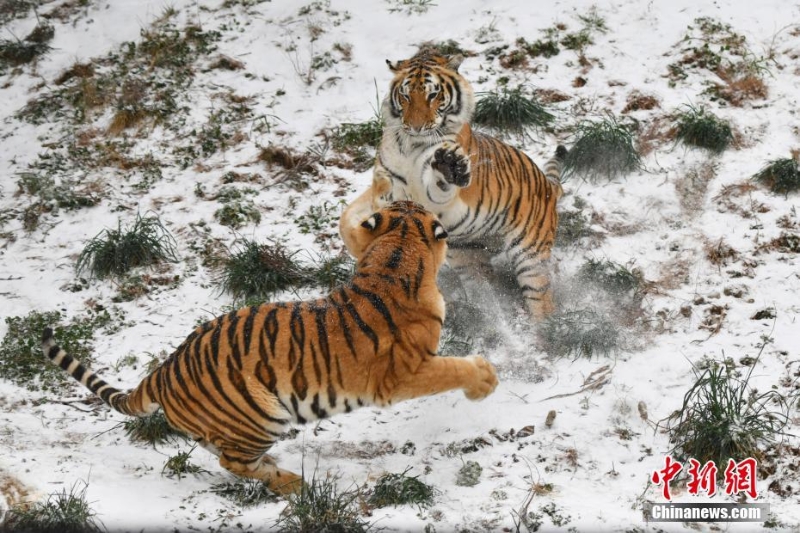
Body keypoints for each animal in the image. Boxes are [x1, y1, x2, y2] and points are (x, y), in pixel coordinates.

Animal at [41, 201, 498, 495]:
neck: (396, 251)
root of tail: (164, 371)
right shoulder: (402, 375)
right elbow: (452, 369)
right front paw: (485, 381)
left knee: (225, 456)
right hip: (262, 414)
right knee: (231, 462)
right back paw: (292, 483)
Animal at [340, 49, 566, 320]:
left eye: (433, 94)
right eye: (406, 95)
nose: (416, 127)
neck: (409, 145)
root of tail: (549, 186)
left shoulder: (436, 195)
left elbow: (436, 183)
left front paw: (449, 165)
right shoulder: (384, 180)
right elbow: (347, 218)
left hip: (530, 256)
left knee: (542, 301)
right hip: (469, 256)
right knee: (485, 292)